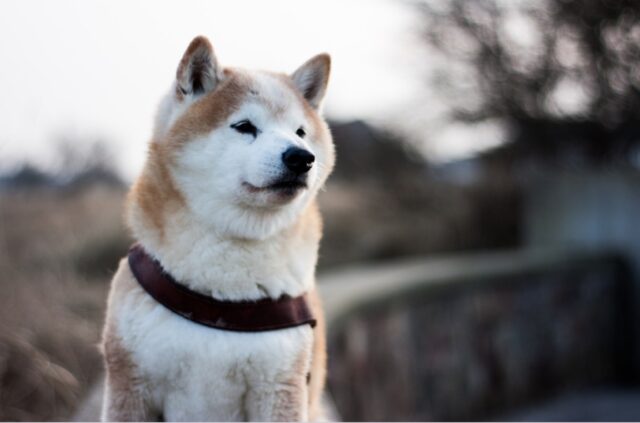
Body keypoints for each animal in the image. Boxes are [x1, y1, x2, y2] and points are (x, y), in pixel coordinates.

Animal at [100, 34, 336, 422]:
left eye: (300, 132)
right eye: (244, 126)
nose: (301, 157)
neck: (224, 297)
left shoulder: (279, 386)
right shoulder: (131, 385)